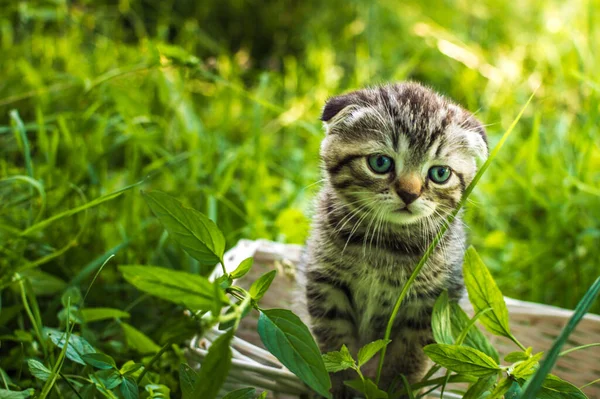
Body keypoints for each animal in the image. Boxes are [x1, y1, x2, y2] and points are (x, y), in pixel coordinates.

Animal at [304, 81, 488, 396]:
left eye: (440, 173)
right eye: (380, 162)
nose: (409, 194)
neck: (387, 244)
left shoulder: (431, 302)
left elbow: (409, 358)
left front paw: (395, 389)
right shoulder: (326, 284)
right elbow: (336, 348)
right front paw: (339, 388)